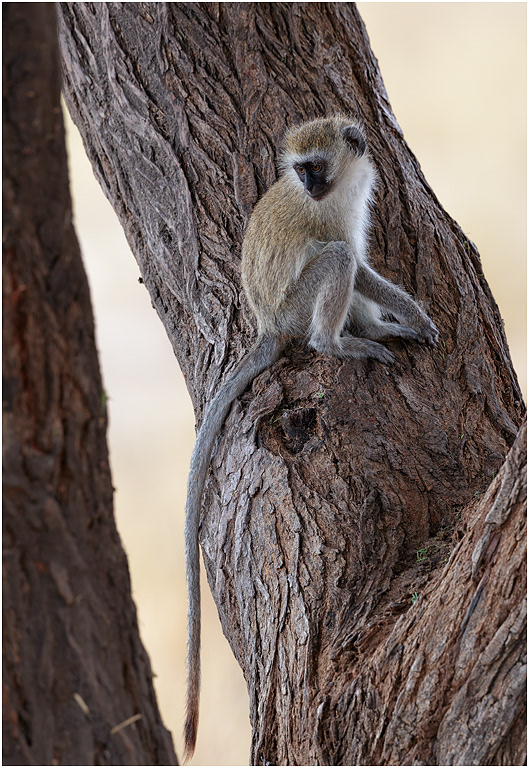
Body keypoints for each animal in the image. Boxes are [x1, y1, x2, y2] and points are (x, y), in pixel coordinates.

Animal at [183, 115, 438, 760]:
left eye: (314, 167)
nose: (312, 186)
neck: (338, 188)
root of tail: (270, 325)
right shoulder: (327, 218)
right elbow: (357, 263)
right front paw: (415, 315)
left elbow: (364, 261)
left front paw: (398, 320)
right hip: (299, 310)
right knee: (337, 261)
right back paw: (338, 343)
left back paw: (371, 330)